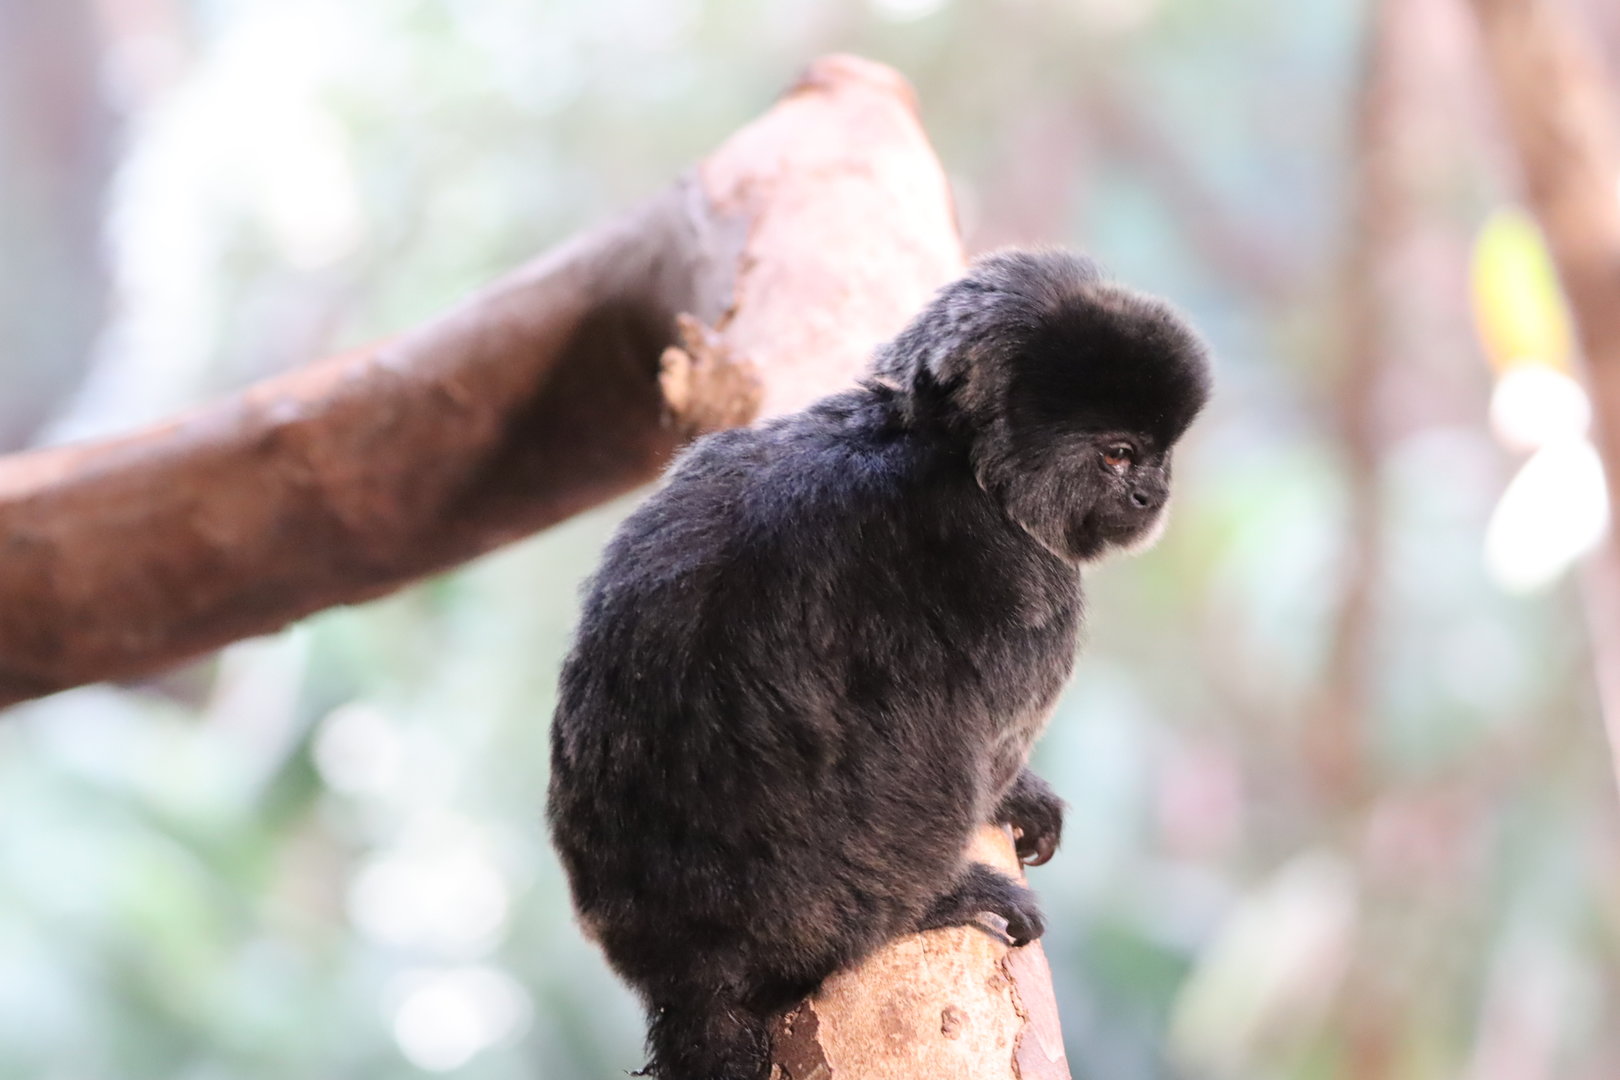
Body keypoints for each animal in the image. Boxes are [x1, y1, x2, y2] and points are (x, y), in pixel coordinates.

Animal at [546, 248, 1212, 1080]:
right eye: (1120, 453)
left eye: (1159, 455)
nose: (1154, 490)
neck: (948, 452)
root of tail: (689, 969)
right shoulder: (1027, 583)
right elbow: (988, 739)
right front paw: (1014, 794)